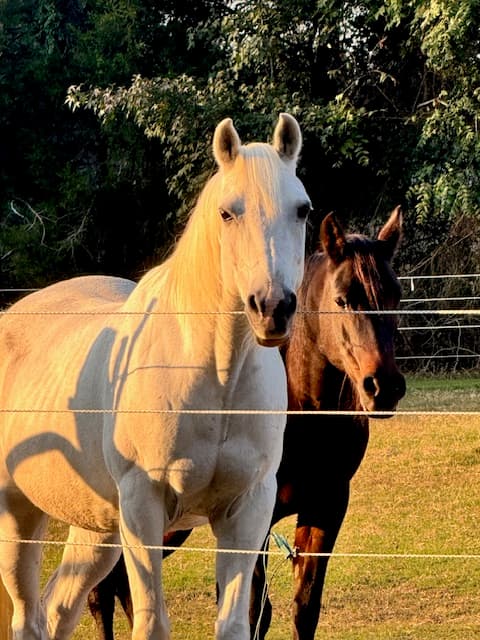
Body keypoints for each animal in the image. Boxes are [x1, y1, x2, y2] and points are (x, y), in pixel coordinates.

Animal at [0, 112, 312, 640]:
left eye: (302, 210)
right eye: (228, 213)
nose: (272, 308)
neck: (216, 380)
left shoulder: (247, 511)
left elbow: (233, 624)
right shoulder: (144, 508)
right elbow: (150, 622)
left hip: (97, 529)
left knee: (58, 608)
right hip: (20, 513)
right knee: (28, 616)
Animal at [86, 206, 406, 639]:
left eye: (396, 296)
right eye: (342, 299)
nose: (383, 387)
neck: (303, 413)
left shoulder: (325, 508)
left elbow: (305, 608)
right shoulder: (253, 515)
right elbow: (255, 612)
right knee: (103, 591)